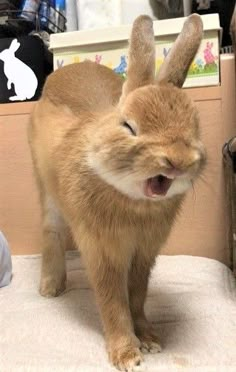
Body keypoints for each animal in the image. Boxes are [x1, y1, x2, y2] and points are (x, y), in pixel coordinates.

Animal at [27, 14, 205, 372]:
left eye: (195, 127)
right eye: (129, 127)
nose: (177, 161)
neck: (134, 203)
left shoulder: (143, 254)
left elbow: (136, 296)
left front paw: (149, 339)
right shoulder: (103, 252)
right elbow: (113, 302)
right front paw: (127, 356)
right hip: (46, 188)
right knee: (52, 230)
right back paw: (51, 287)